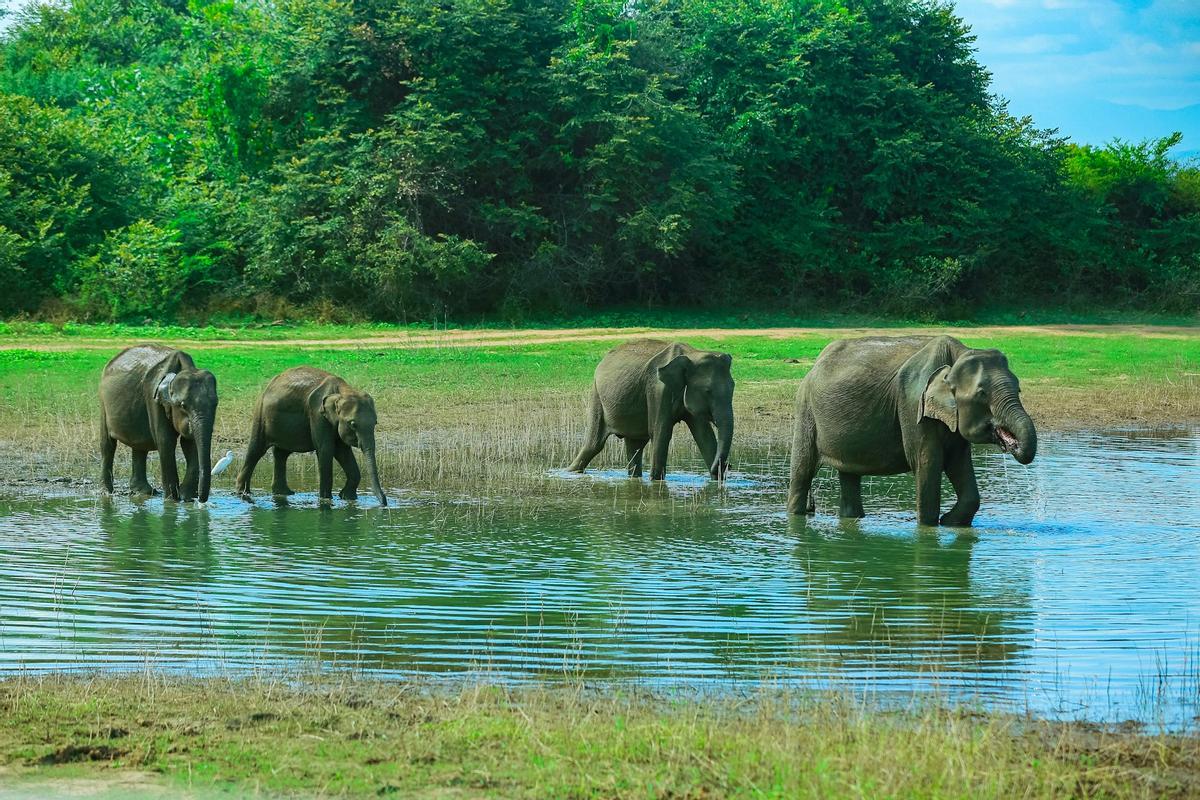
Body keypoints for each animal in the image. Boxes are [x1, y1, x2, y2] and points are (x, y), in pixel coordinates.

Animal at [99, 343, 219, 501]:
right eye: (182, 405)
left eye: (216, 404)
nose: (199, 498)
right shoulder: (153, 398)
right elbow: (166, 442)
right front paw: (172, 500)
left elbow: (190, 443)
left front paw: (186, 497)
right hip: (103, 402)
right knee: (108, 445)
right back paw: (106, 493)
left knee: (139, 445)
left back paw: (143, 492)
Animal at [232, 367, 384, 503]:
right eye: (353, 424)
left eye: (376, 423)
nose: (384, 502)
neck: (343, 391)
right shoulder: (317, 414)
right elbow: (326, 450)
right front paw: (326, 500)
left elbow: (342, 451)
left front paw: (347, 497)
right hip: (260, 413)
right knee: (256, 450)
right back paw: (243, 493)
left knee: (281, 453)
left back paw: (284, 493)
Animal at [568, 340, 734, 482]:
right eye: (707, 391)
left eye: (733, 387)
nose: (728, 465)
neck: (692, 354)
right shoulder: (658, 389)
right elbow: (661, 433)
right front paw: (656, 482)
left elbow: (704, 436)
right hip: (596, 394)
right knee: (593, 445)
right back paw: (570, 472)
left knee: (634, 446)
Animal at [787, 335, 1041, 527]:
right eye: (981, 394)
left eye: (1019, 389)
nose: (1013, 444)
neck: (958, 355)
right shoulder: (912, 403)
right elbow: (926, 462)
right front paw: (929, 527)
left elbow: (958, 463)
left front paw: (949, 522)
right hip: (805, 409)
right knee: (802, 469)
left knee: (849, 474)